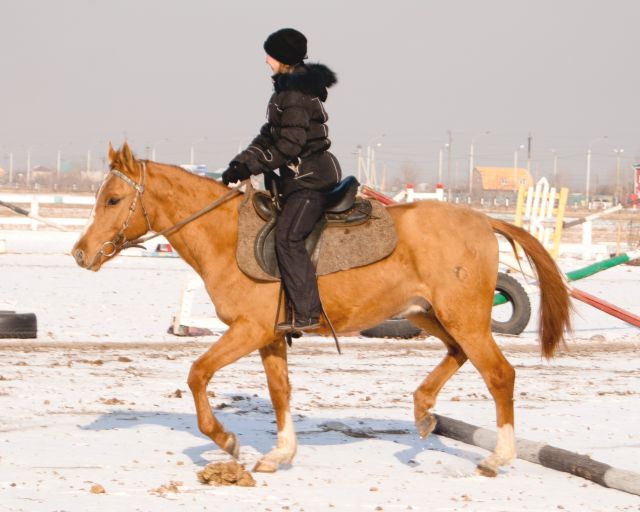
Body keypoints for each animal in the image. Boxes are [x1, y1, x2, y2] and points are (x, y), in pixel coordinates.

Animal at [72, 142, 571, 477]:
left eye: (113, 200)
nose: (80, 253)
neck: (223, 234)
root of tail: (483, 219)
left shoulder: (249, 330)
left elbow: (197, 374)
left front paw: (227, 441)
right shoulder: (271, 336)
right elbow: (280, 392)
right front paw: (280, 454)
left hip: (462, 318)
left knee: (499, 374)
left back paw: (496, 456)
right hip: (427, 314)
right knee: (458, 354)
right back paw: (424, 412)